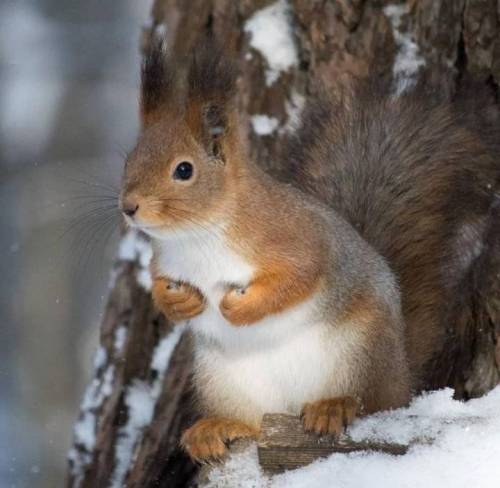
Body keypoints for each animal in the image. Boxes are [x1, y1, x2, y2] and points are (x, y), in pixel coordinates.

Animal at [120, 38, 500, 462]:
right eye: (130, 159)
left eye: (184, 170)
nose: (129, 206)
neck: (195, 236)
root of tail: (401, 374)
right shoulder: (165, 261)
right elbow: (159, 285)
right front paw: (178, 302)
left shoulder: (299, 240)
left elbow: (297, 278)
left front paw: (240, 307)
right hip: (225, 379)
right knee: (255, 423)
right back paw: (219, 427)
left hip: (359, 352)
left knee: (371, 402)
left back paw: (335, 406)